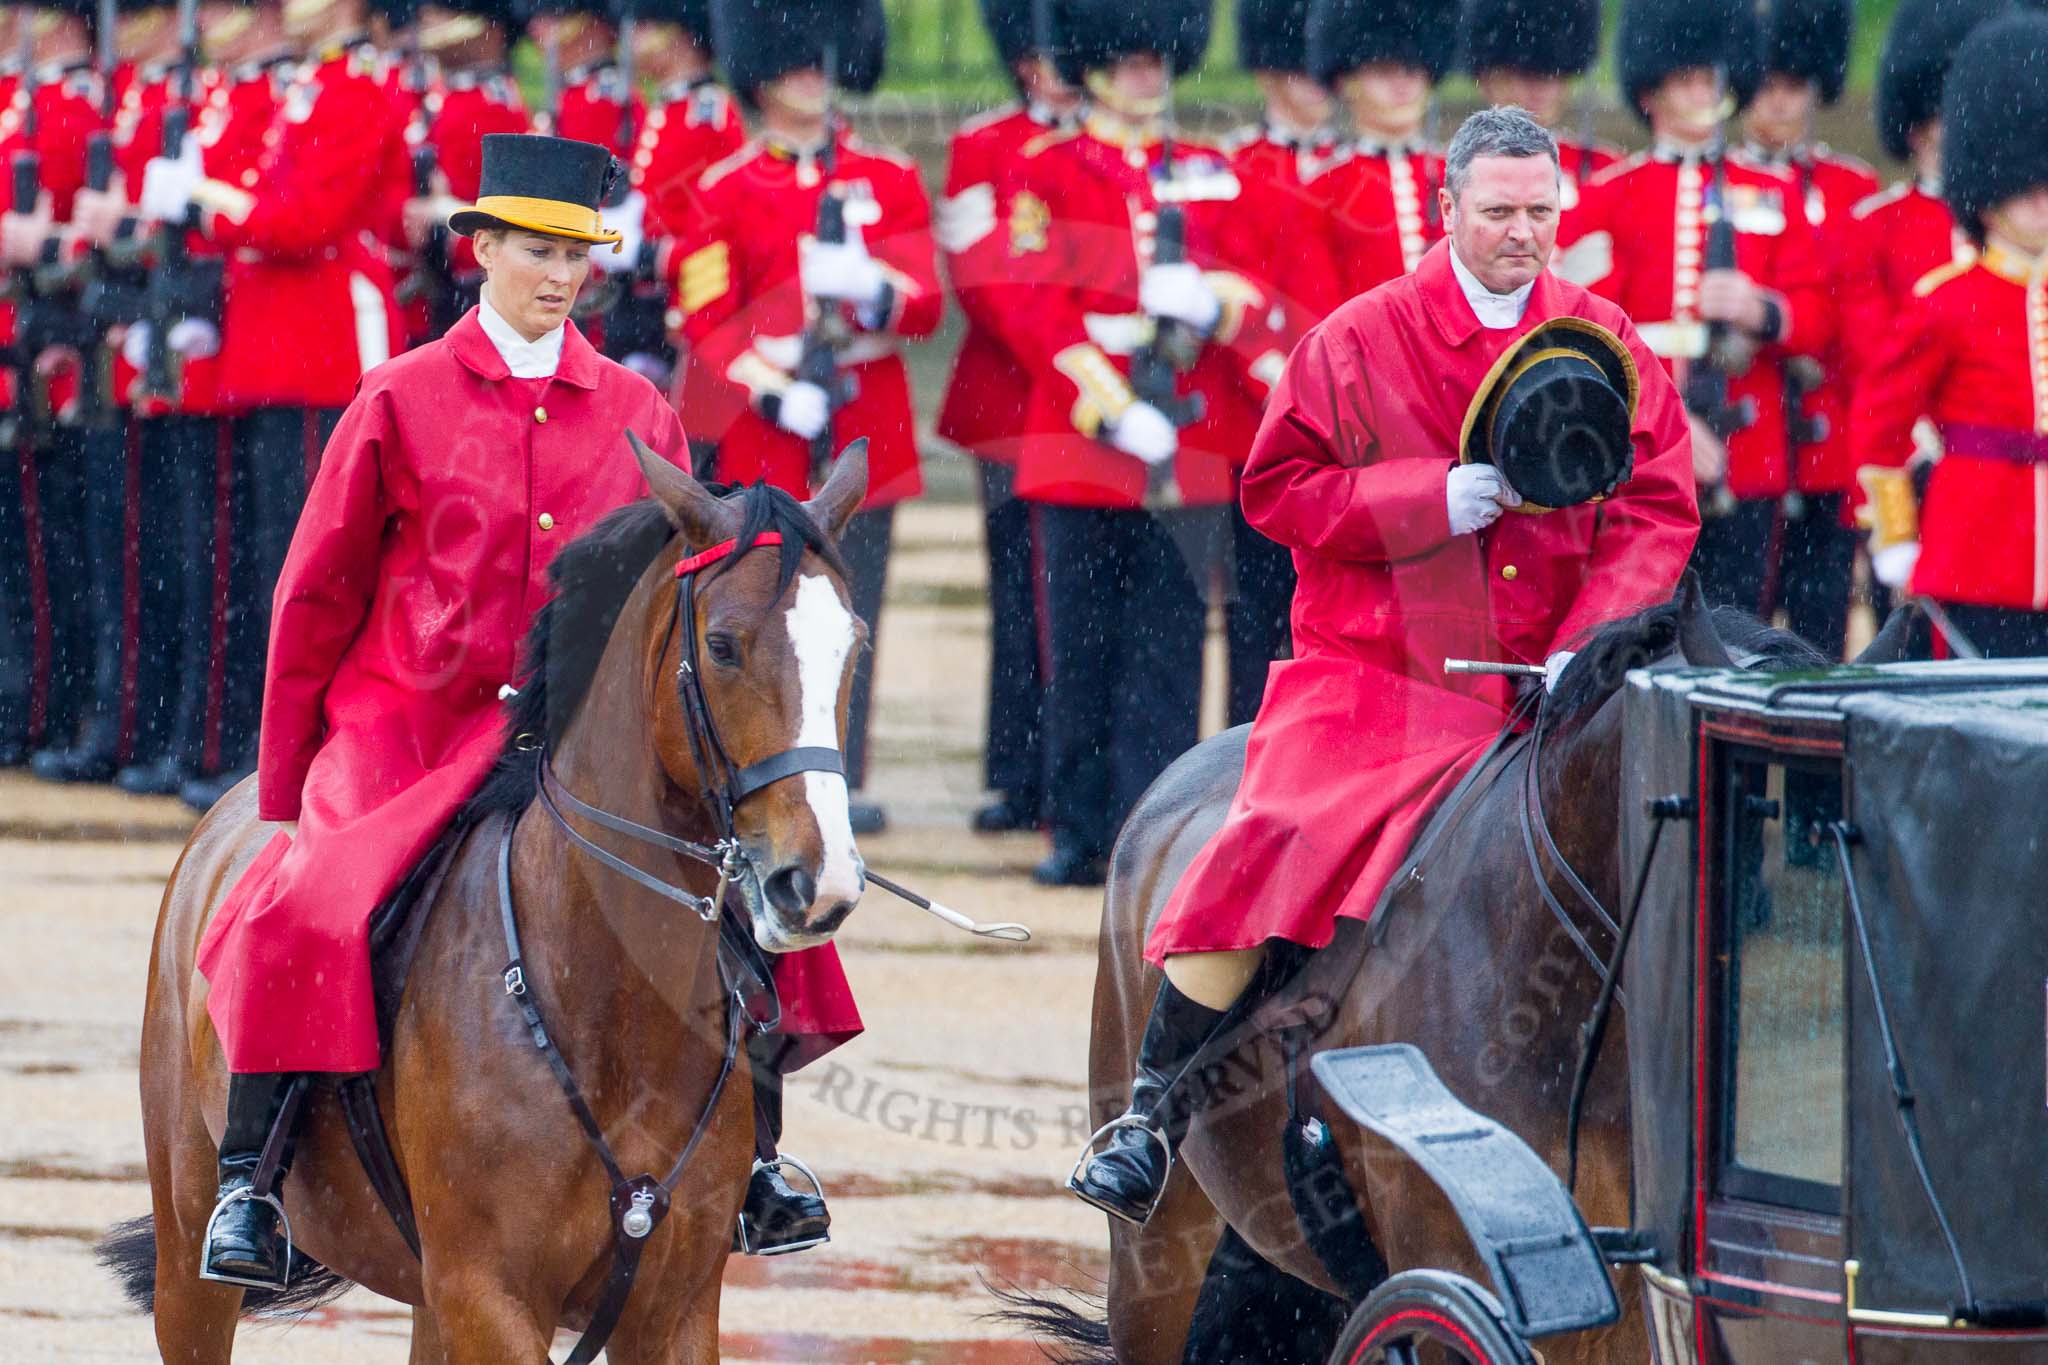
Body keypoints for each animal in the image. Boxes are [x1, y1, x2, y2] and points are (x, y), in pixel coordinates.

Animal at [99, 435, 872, 1362]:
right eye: (722, 645)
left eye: (855, 644)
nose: (817, 881)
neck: (611, 1009)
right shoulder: (489, 1295)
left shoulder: (674, 1307)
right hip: (190, 1259)